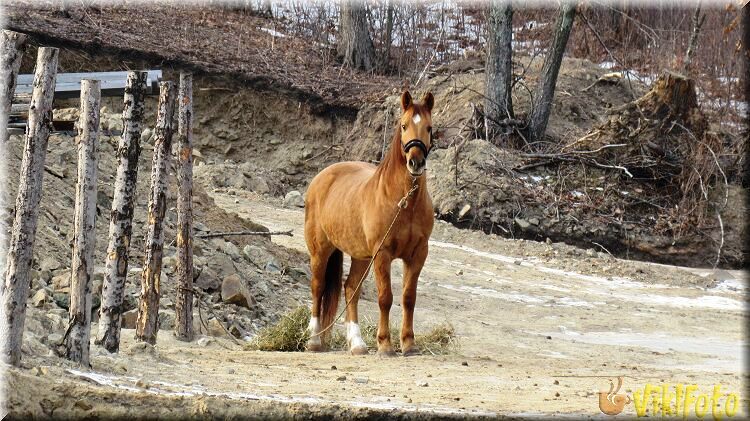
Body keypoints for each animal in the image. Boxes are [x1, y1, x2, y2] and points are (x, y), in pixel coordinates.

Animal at [304, 90, 434, 356]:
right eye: (403, 125)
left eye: (429, 127)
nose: (416, 162)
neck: (403, 202)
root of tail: (322, 176)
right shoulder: (382, 253)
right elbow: (385, 297)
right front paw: (385, 345)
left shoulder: (417, 254)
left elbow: (409, 298)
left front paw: (409, 344)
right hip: (320, 251)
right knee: (317, 287)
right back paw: (313, 340)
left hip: (361, 257)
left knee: (350, 289)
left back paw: (357, 344)